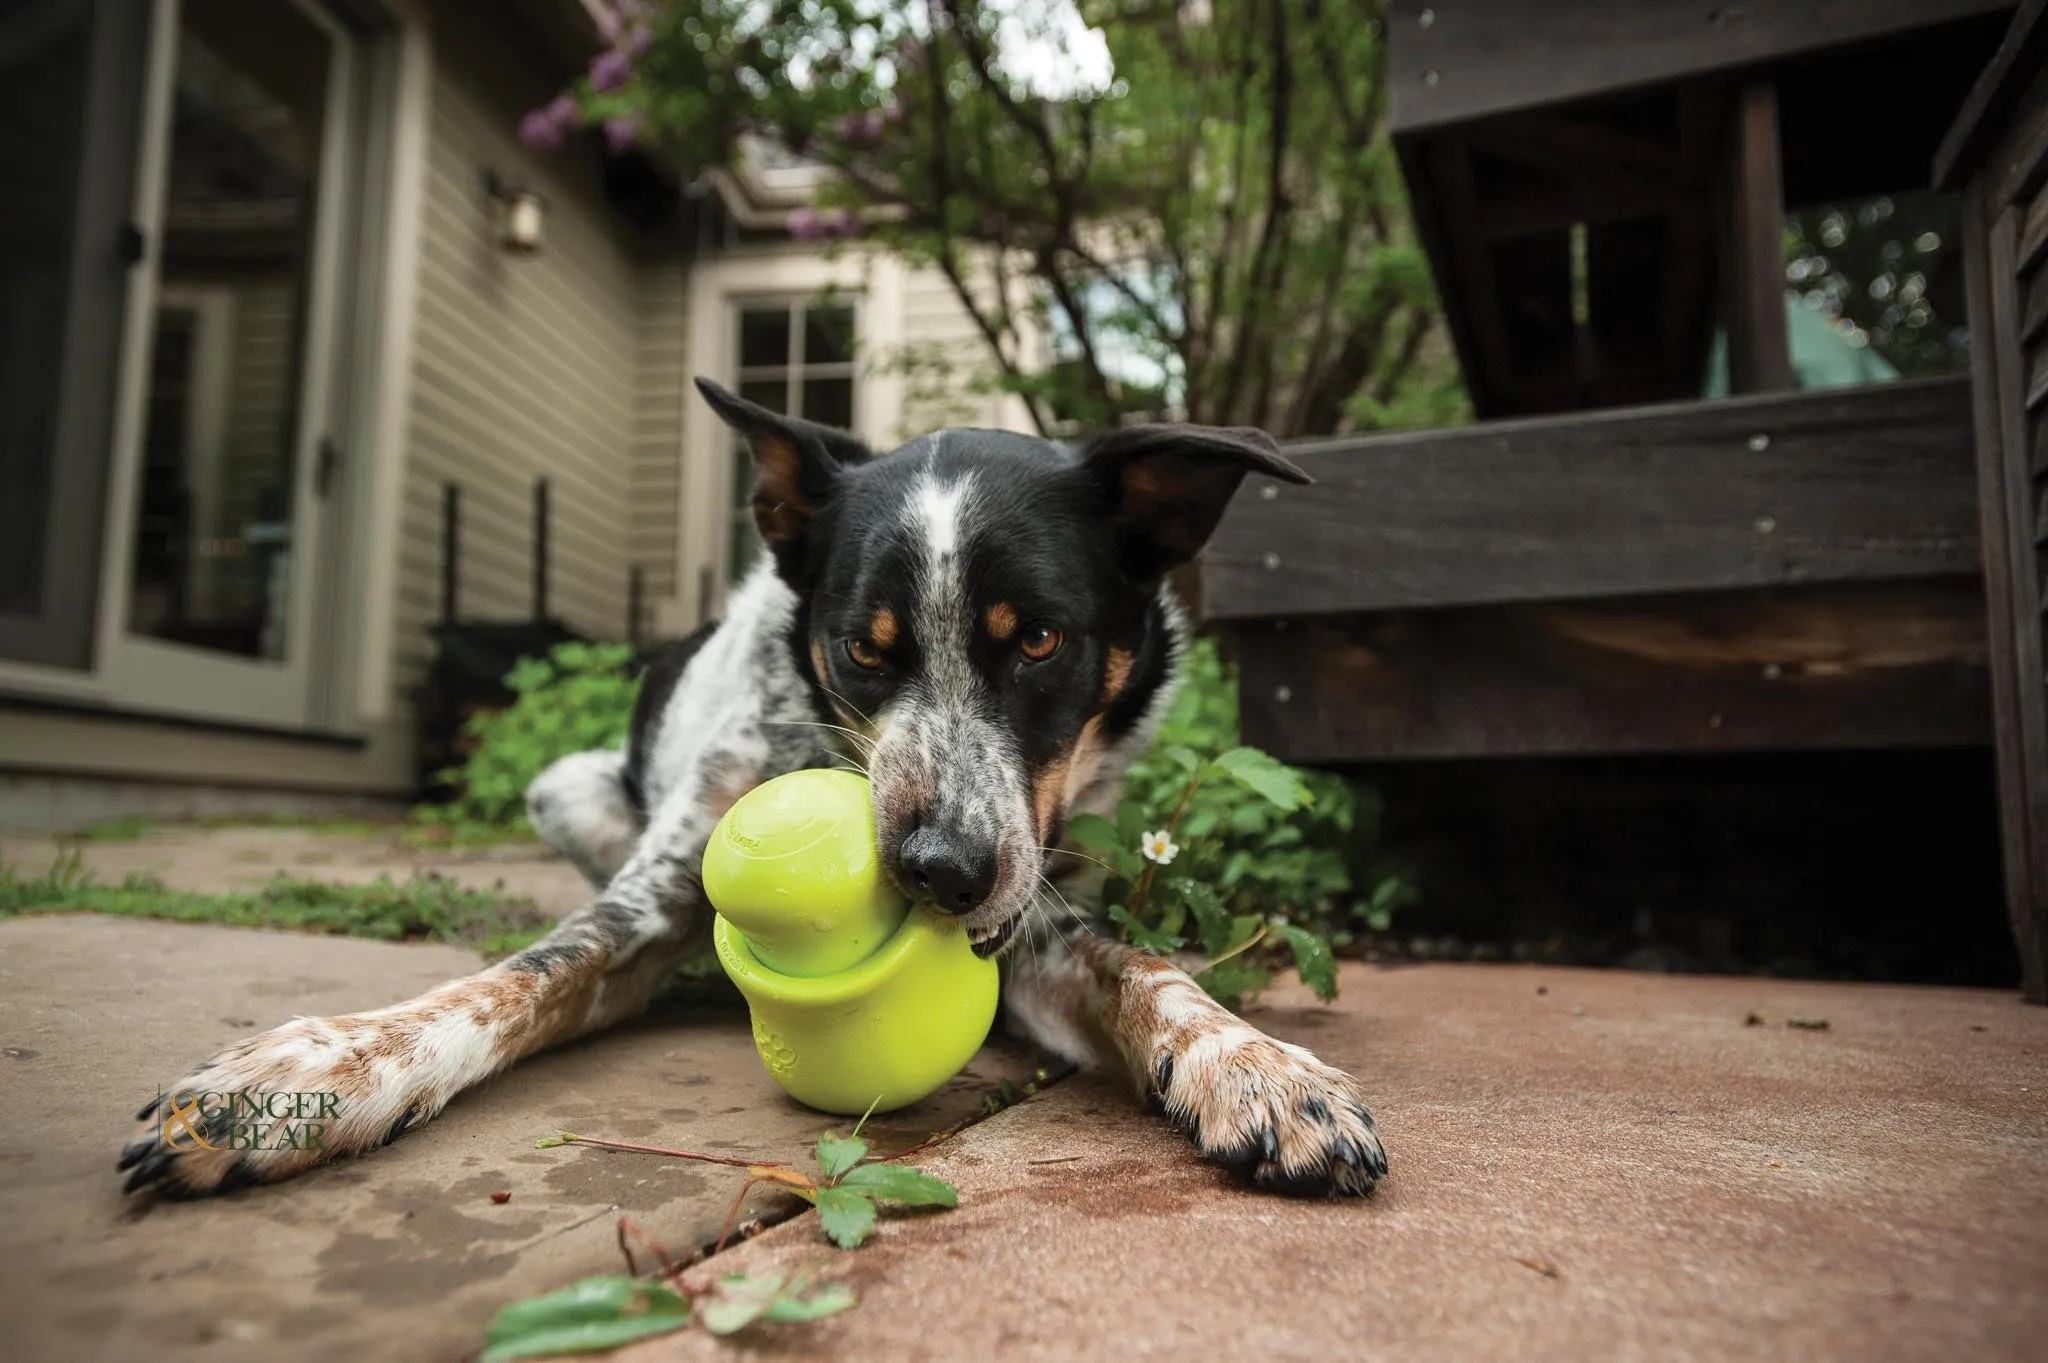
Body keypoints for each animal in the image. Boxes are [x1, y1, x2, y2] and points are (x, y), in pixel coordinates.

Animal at [116, 376, 1392, 1195]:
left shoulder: (1029, 913)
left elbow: (1141, 967)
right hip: (568, 790)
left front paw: (1253, 1064)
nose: (937, 873)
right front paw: (313, 1077)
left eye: (1038, 640)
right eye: (863, 648)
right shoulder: (646, 900)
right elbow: (511, 980)